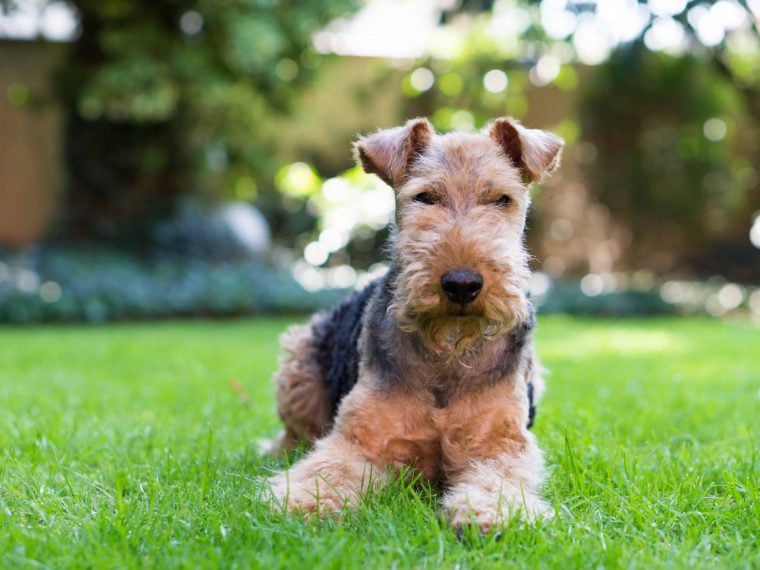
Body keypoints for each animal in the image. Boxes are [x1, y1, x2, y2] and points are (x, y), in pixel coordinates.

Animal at [270, 116, 560, 532]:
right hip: (298, 364)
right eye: (425, 197)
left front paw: (493, 513)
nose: (462, 284)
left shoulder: (499, 444)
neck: (448, 349)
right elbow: (328, 467)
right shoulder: (359, 440)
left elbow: (499, 479)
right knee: (291, 436)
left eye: (502, 199)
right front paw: (306, 500)